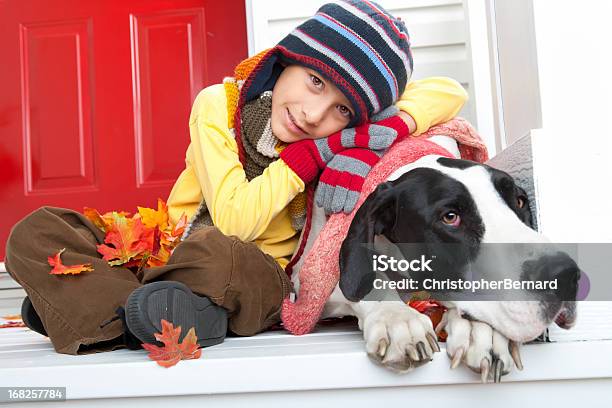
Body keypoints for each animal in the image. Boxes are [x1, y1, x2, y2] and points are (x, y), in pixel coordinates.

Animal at [292, 136, 580, 382]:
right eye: (450, 217)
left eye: (519, 201)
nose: (565, 275)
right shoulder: (310, 284)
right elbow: (365, 282)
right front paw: (396, 317)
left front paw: (481, 332)